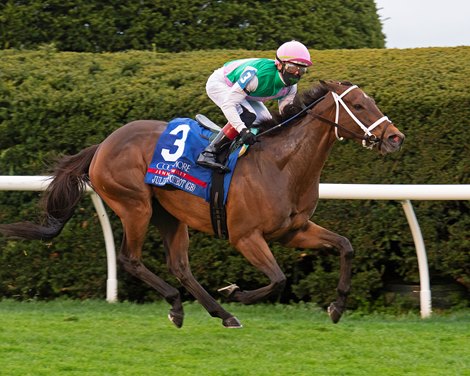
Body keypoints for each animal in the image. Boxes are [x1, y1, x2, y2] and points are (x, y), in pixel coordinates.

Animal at [0, 81, 404, 328]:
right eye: (357, 105)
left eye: (371, 102)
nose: (395, 138)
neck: (281, 165)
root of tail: (102, 145)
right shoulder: (245, 236)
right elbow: (278, 279)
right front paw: (237, 292)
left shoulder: (294, 230)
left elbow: (346, 246)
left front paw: (337, 307)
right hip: (135, 206)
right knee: (131, 258)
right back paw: (183, 305)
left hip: (169, 214)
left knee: (180, 265)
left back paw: (218, 313)